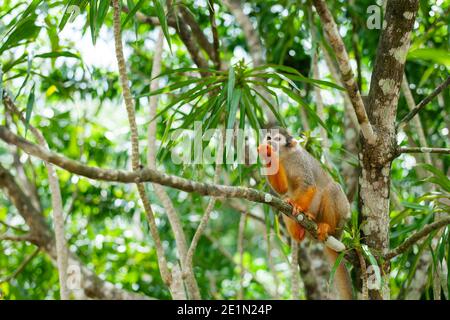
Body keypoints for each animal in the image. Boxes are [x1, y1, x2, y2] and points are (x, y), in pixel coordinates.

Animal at [258, 125, 354, 300]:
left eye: (277, 139)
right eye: (268, 137)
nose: (269, 142)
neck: (285, 155)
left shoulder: (300, 159)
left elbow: (308, 185)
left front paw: (298, 206)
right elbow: (282, 190)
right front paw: (266, 153)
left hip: (342, 218)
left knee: (332, 188)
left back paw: (325, 226)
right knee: (284, 198)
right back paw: (298, 232)